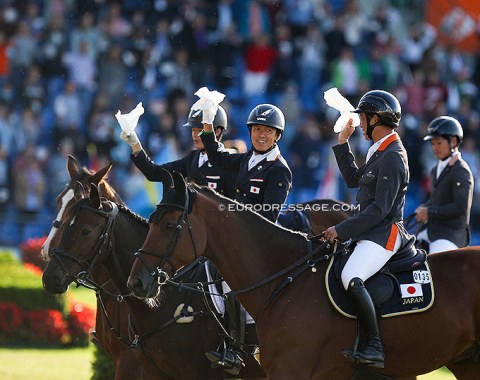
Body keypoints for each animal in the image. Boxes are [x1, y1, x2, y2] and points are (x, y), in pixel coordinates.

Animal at [127, 172, 480, 380]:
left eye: (170, 224)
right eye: (152, 219)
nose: (137, 282)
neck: (284, 279)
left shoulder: (291, 369)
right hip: (467, 363)